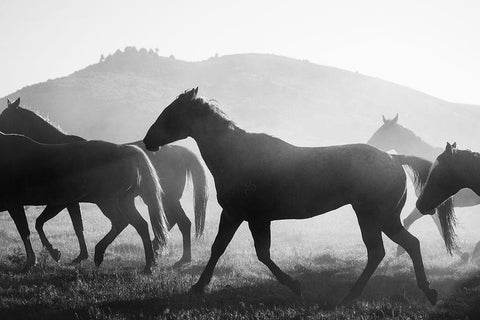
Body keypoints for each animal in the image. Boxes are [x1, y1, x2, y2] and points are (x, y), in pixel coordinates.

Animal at [0, 131, 169, 272]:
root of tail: (126, 150)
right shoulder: (60, 203)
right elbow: (40, 224)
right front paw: (54, 253)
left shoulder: (17, 204)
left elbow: (26, 230)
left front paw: (32, 261)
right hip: (124, 201)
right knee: (140, 225)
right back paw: (148, 265)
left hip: (106, 201)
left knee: (121, 221)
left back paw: (100, 254)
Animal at [142, 87, 438, 304]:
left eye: (171, 112)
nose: (148, 140)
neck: (236, 155)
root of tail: (394, 159)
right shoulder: (244, 216)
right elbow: (230, 249)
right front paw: (200, 285)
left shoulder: (246, 216)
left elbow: (252, 252)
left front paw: (295, 285)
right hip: (381, 218)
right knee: (402, 246)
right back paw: (419, 291)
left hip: (375, 217)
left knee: (386, 249)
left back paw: (356, 295)